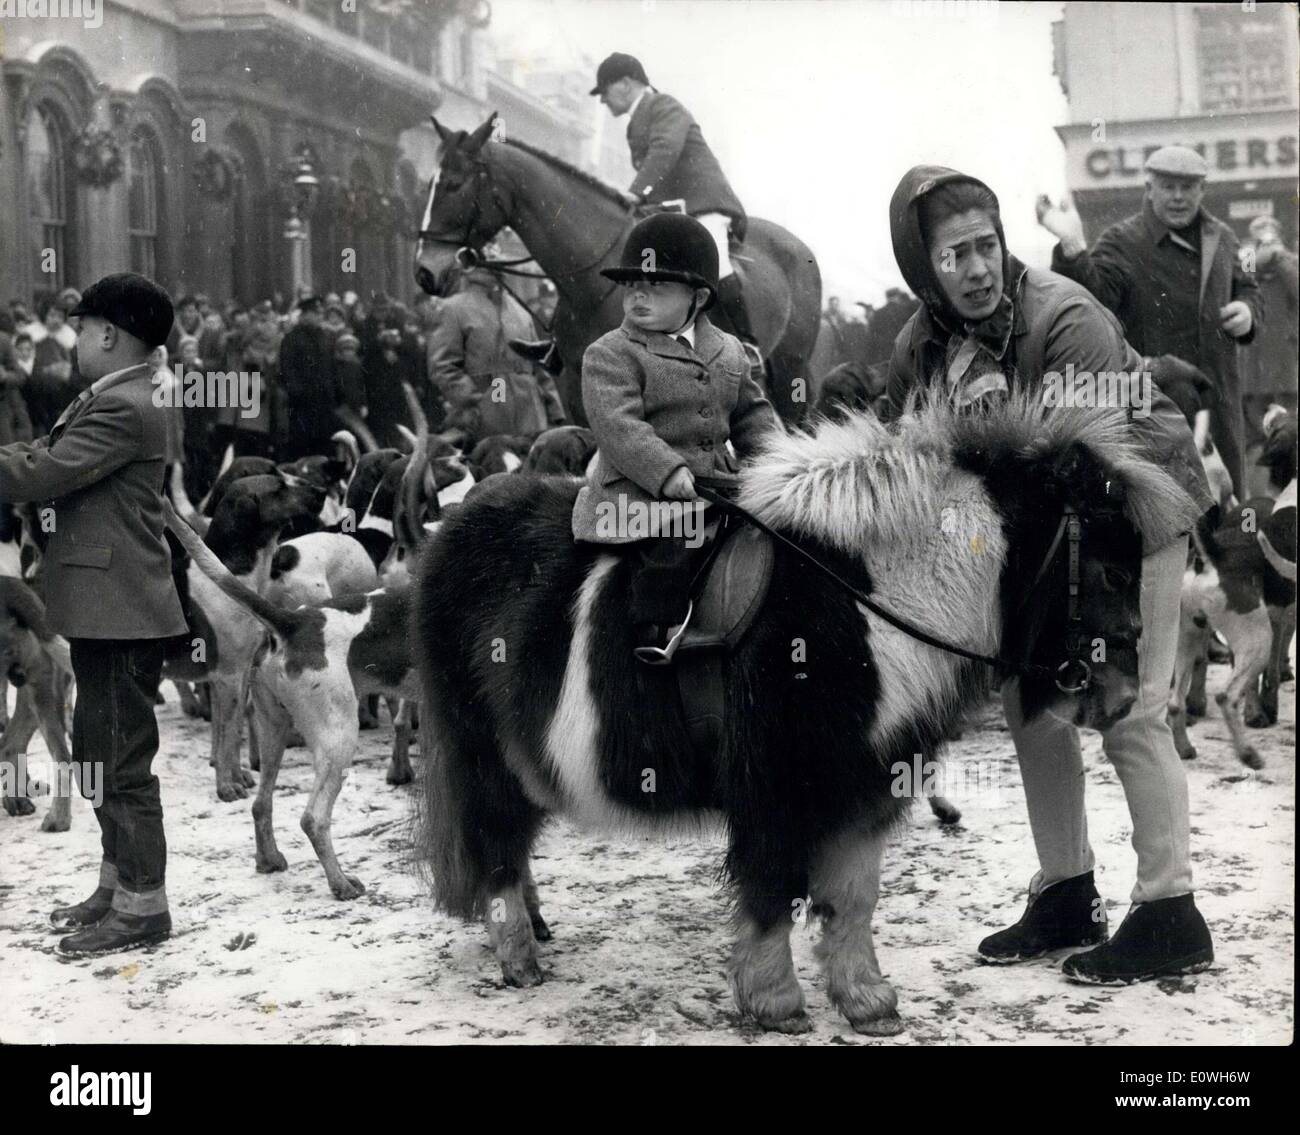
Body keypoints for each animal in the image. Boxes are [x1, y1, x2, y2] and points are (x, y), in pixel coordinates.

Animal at [413, 115, 821, 426]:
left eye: (454, 185)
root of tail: (798, 246)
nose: (423, 272)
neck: (589, 286)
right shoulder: (575, 391)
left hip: (792, 366)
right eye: (428, 185)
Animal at [413, 392, 1196, 1034]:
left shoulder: (870, 780)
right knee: (497, 846)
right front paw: (774, 1002)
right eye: (1111, 570)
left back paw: (535, 928)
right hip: (482, 753)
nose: (1122, 696)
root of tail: (448, 531)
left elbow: (852, 895)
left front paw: (867, 1001)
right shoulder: (777, 784)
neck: (865, 602)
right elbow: (771, 887)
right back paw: (518, 955)